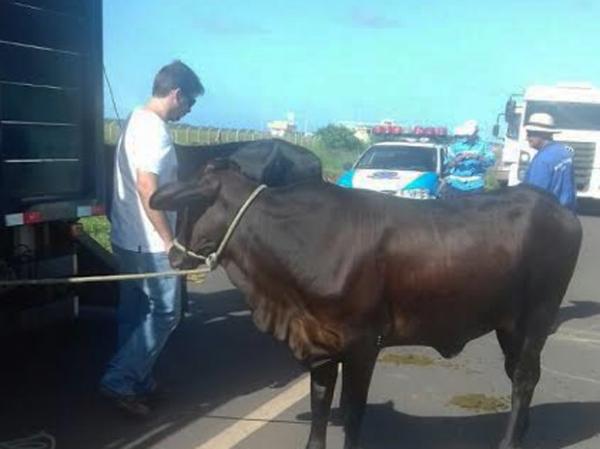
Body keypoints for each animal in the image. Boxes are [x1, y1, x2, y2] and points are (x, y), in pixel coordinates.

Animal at [150, 162, 580, 448]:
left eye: (193, 207)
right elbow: (320, 405)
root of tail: (559, 209)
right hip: (508, 325)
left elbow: (353, 411)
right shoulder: (319, 343)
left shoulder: (361, 344)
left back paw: (510, 441)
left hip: (536, 317)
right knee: (520, 375)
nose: (173, 256)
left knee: (523, 378)